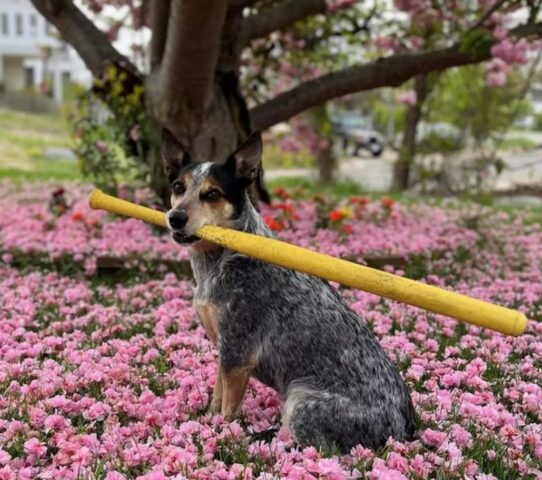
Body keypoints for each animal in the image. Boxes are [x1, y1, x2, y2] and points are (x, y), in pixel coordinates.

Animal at [162, 132, 416, 454]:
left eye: (212, 194)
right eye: (178, 187)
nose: (175, 217)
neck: (223, 259)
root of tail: (405, 431)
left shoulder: (238, 353)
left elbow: (228, 410)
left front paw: (223, 437)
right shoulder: (225, 349)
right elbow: (216, 399)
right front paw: (208, 423)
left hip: (299, 399)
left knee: (315, 449)